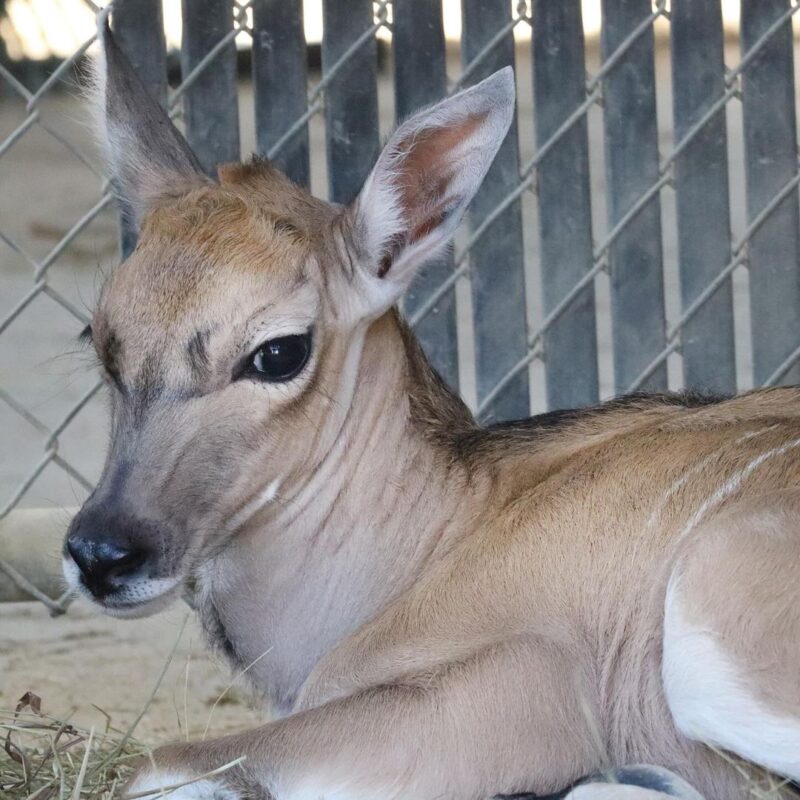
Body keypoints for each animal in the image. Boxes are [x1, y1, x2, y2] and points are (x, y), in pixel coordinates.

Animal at [61, 14, 800, 800]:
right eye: (100, 336)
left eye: (278, 351)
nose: (102, 553)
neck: (441, 529)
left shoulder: (526, 679)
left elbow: (157, 763)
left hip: (710, 639)